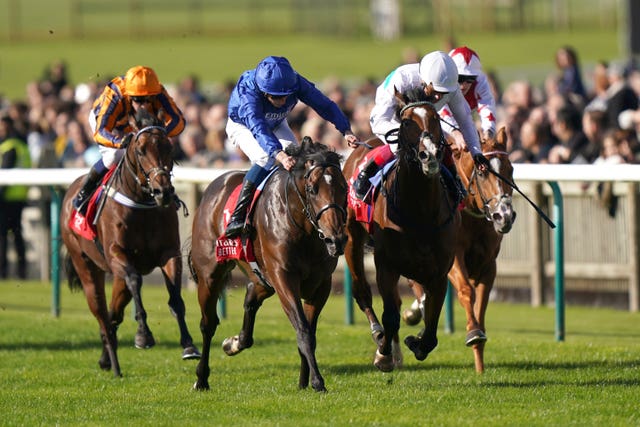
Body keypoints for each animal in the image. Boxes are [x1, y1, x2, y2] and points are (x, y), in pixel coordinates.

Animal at [60, 109, 200, 378]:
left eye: (169, 147)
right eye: (141, 150)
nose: (163, 191)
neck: (141, 203)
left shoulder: (169, 253)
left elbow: (176, 299)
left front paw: (189, 345)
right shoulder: (119, 255)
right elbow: (135, 281)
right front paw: (143, 336)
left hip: (116, 277)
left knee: (114, 314)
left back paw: (106, 359)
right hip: (87, 267)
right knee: (103, 315)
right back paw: (114, 365)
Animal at [189, 139, 348, 392]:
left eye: (344, 188)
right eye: (312, 189)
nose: (336, 240)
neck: (304, 229)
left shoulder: (321, 285)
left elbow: (310, 333)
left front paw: (304, 381)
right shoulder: (284, 278)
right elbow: (303, 330)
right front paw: (317, 381)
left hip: (262, 278)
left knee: (250, 298)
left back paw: (234, 343)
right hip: (209, 276)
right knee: (208, 324)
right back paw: (201, 378)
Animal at [342, 88, 458, 372]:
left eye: (436, 119)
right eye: (406, 122)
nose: (429, 155)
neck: (420, 211)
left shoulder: (439, 272)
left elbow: (431, 325)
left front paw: (416, 343)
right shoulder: (386, 264)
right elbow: (391, 315)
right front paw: (383, 354)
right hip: (352, 239)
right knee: (363, 292)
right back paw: (379, 335)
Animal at [402, 125, 516, 372]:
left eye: (510, 170)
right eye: (482, 173)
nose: (504, 216)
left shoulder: (488, 264)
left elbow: (482, 300)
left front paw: (480, 361)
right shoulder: (453, 258)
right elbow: (466, 290)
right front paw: (473, 333)